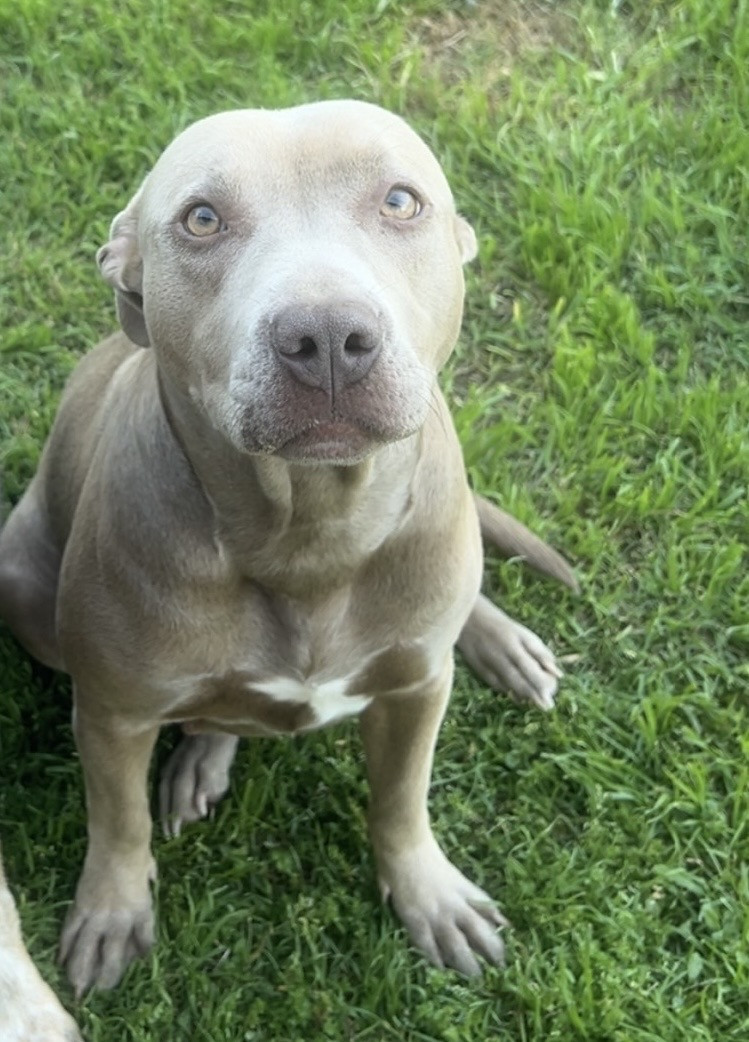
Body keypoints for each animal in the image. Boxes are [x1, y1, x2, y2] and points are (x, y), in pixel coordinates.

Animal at [0, 99, 576, 997]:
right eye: (201, 219)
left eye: (400, 201)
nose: (327, 335)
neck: (311, 534)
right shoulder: (111, 713)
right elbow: (117, 820)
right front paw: (111, 913)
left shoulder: (418, 692)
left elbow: (401, 800)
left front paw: (427, 893)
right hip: (23, 588)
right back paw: (205, 755)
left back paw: (499, 641)